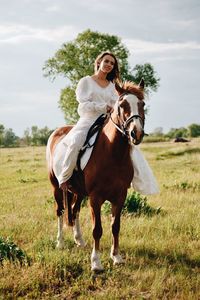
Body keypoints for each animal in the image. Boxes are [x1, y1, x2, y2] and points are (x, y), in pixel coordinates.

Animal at [46, 79, 145, 272]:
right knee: (60, 211)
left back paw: (79, 240)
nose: (135, 133)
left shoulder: (120, 196)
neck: (113, 153)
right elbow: (97, 229)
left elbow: (115, 226)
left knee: (74, 210)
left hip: (78, 192)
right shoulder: (95, 198)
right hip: (57, 188)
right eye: (122, 105)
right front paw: (96, 262)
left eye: (142, 104)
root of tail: (57, 132)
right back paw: (60, 242)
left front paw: (117, 257)